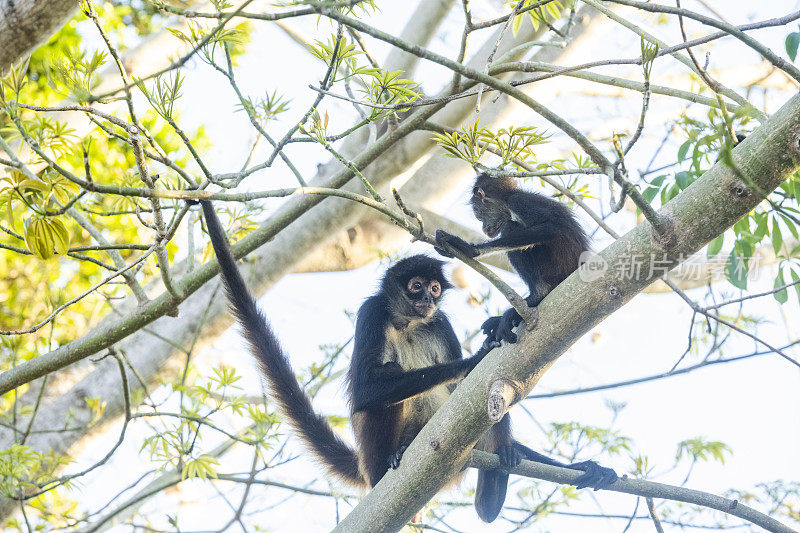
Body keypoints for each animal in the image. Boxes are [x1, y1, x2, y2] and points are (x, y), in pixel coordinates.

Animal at [191, 198, 524, 520]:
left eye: (435, 288)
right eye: (417, 286)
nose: (429, 299)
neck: (408, 323)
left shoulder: (439, 322)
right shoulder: (372, 312)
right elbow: (365, 390)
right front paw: (472, 361)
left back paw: (497, 479)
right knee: (386, 382)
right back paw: (393, 461)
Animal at [434, 172, 592, 342]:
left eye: (479, 216)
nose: (483, 229)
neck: (509, 197)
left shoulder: (518, 201)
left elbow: (549, 228)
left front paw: (468, 248)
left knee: (510, 226)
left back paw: (537, 296)